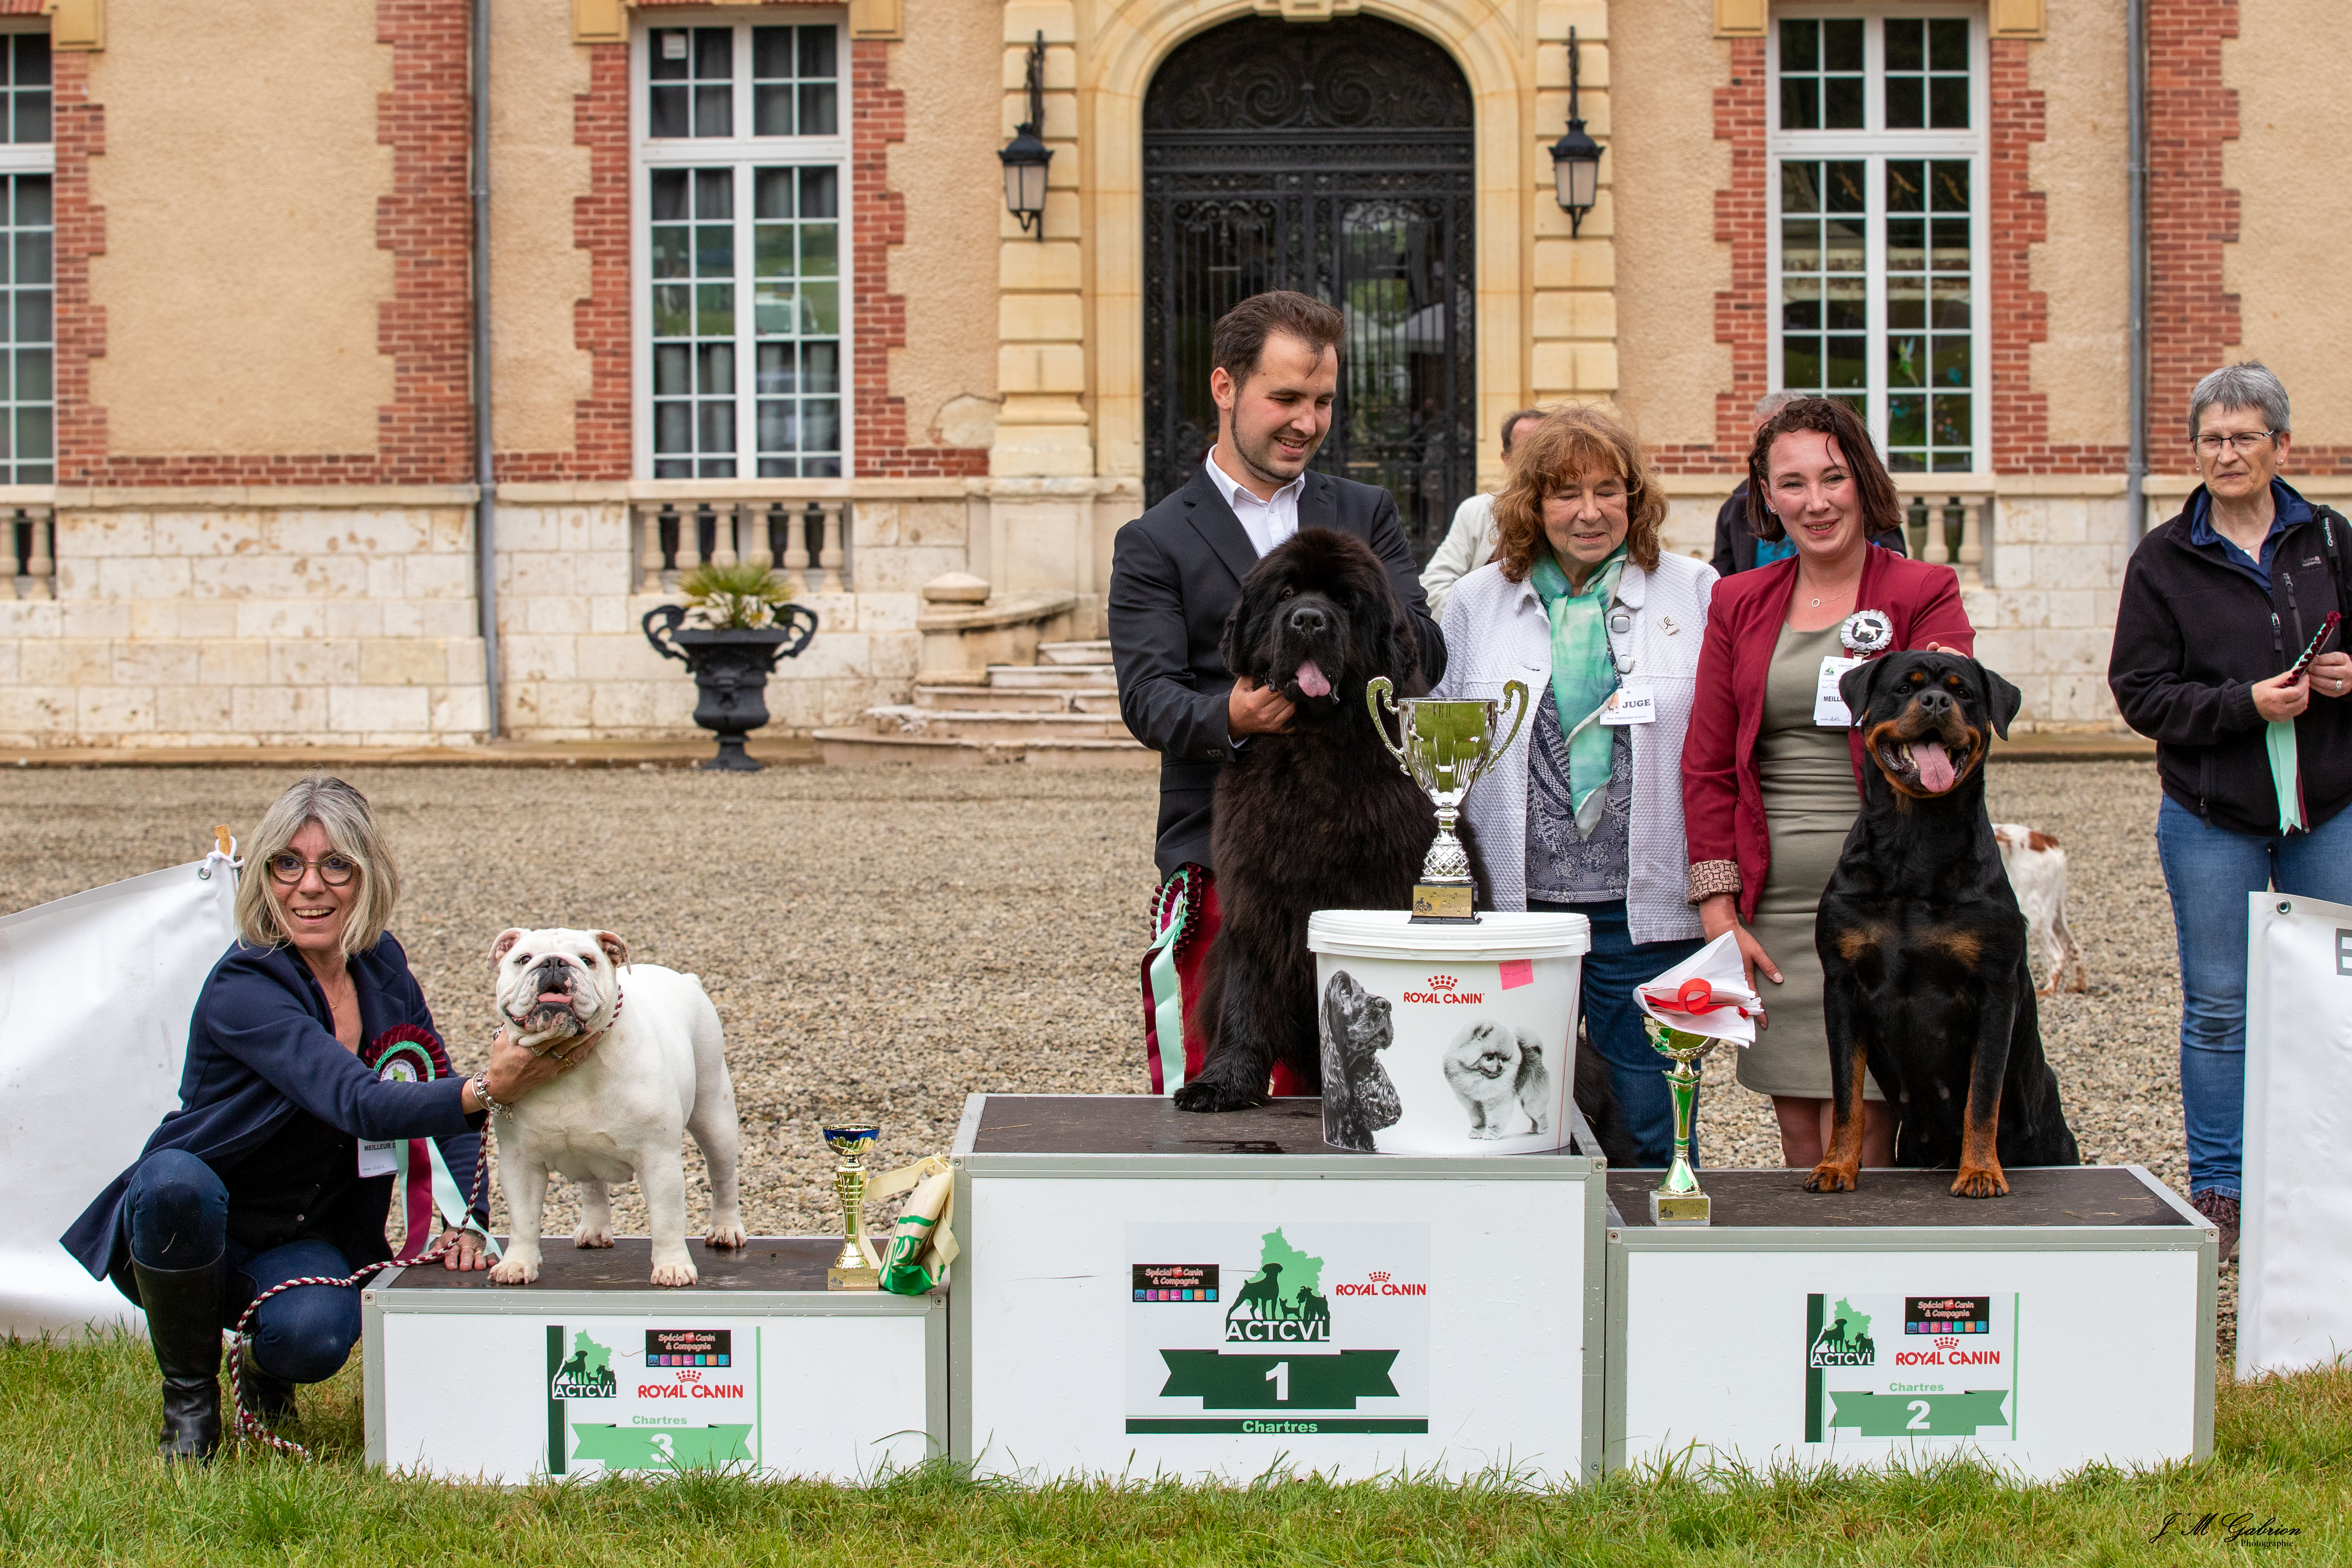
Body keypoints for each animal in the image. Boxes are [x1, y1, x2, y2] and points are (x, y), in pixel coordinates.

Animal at [483, 927, 747, 1286]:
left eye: (588, 960)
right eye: (523, 960)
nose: (554, 963)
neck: (569, 1062)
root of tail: (688, 980)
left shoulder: (658, 1160)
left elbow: (666, 1219)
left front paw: (673, 1266)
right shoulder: (520, 1163)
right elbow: (523, 1218)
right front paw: (517, 1263)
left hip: (715, 1116)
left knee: (723, 1176)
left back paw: (726, 1229)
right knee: (593, 1183)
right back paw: (595, 1229)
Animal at [1442, 1019, 1552, 1140]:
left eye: (1503, 1059)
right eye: (1490, 1057)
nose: (1501, 1068)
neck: (1478, 1077)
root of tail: (1536, 1054)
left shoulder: (1496, 1100)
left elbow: (1496, 1119)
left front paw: (1491, 1134)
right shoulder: (1473, 1103)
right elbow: (1478, 1120)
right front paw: (1476, 1132)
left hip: (1531, 1102)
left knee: (1541, 1115)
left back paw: (1544, 1130)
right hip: (1526, 1104)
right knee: (1534, 1118)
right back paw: (1533, 1130)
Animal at [1992, 823, 2088, 995]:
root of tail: (2045, 839)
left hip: (2033, 915)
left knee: (2058, 954)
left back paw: (2048, 990)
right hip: (2055, 913)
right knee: (2073, 947)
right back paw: (2078, 986)